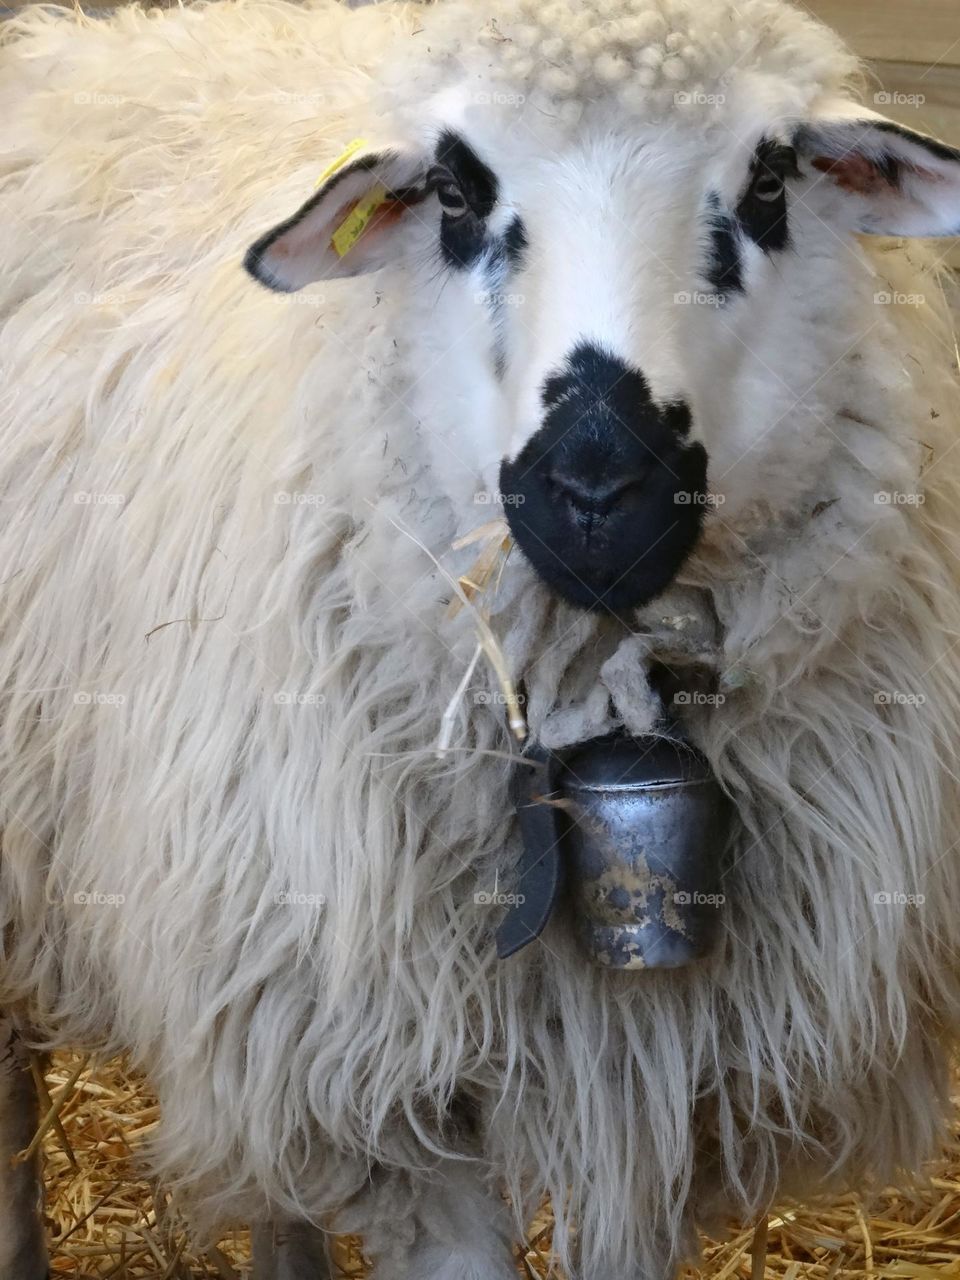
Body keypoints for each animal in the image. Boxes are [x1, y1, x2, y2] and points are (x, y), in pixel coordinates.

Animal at [2, 0, 960, 1277]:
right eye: (456, 190)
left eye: (769, 179)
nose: (597, 488)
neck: (590, 694)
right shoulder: (401, 1104)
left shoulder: (658, 1079)